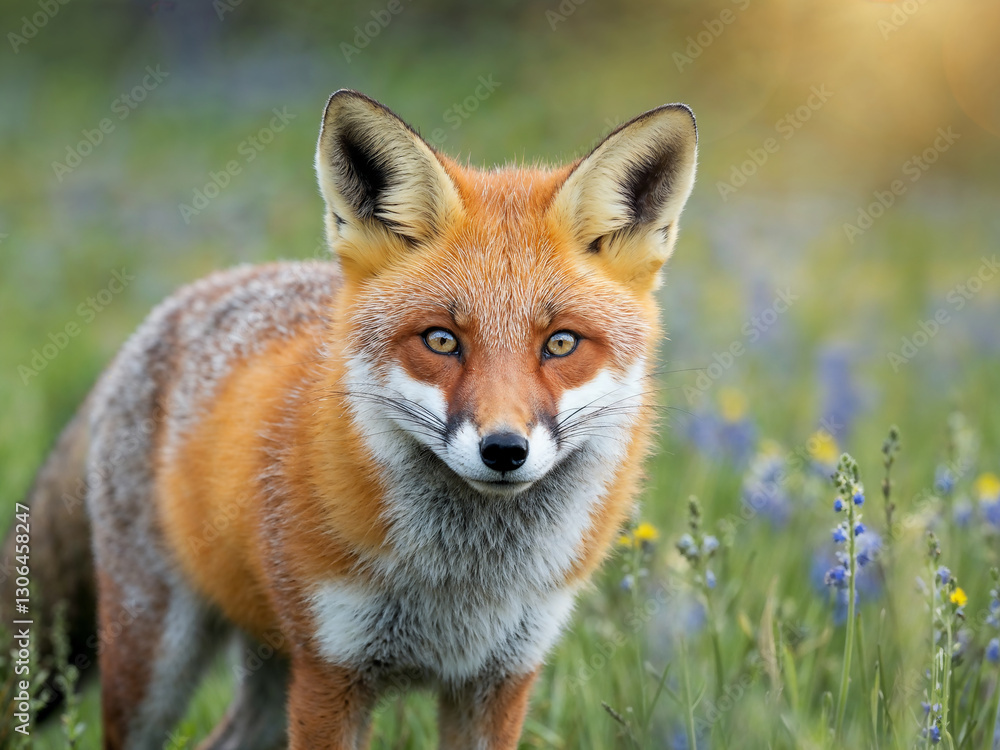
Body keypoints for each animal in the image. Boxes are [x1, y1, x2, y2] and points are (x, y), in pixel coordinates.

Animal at [1, 89, 697, 749]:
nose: (504, 450)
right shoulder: (331, 673)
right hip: (157, 663)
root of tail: (169, 309)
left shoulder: (498, 679)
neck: (464, 584)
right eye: (441, 340)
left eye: (561, 344)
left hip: (269, 681)